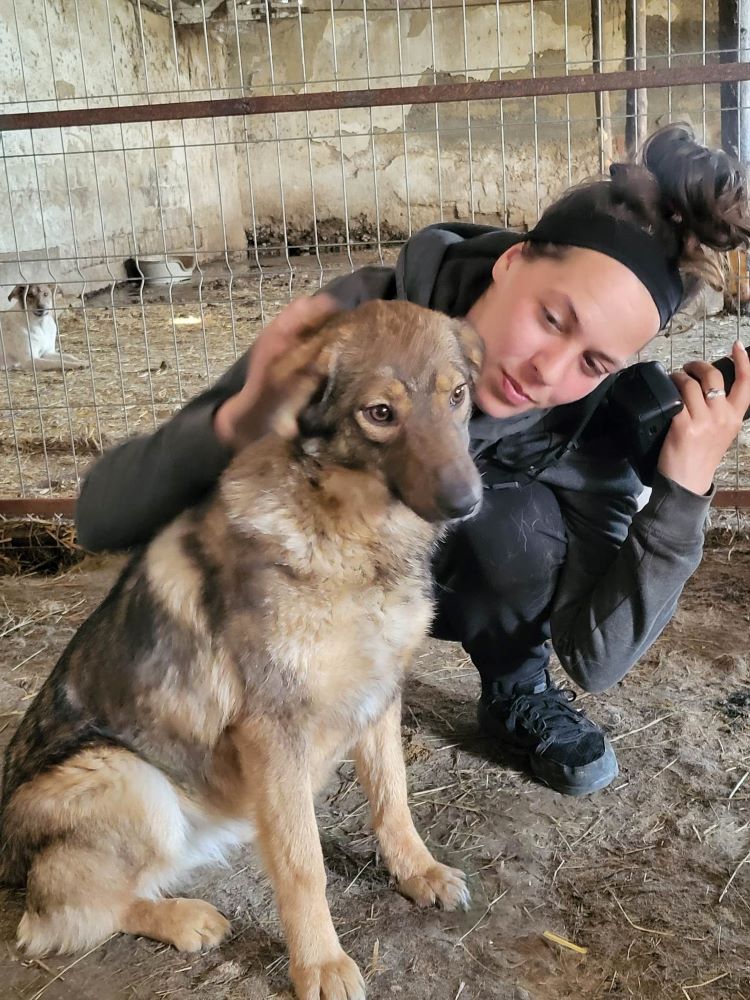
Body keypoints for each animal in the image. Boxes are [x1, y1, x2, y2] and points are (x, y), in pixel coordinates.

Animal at [0, 300, 484, 1000]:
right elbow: (305, 865)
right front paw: (320, 964)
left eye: (457, 397)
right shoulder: (273, 730)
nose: (468, 503)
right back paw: (184, 919)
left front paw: (416, 871)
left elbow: (393, 799)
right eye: (380, 413)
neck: (354, 539)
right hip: (127, 776)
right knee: (57, 919)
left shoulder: (380, 695)